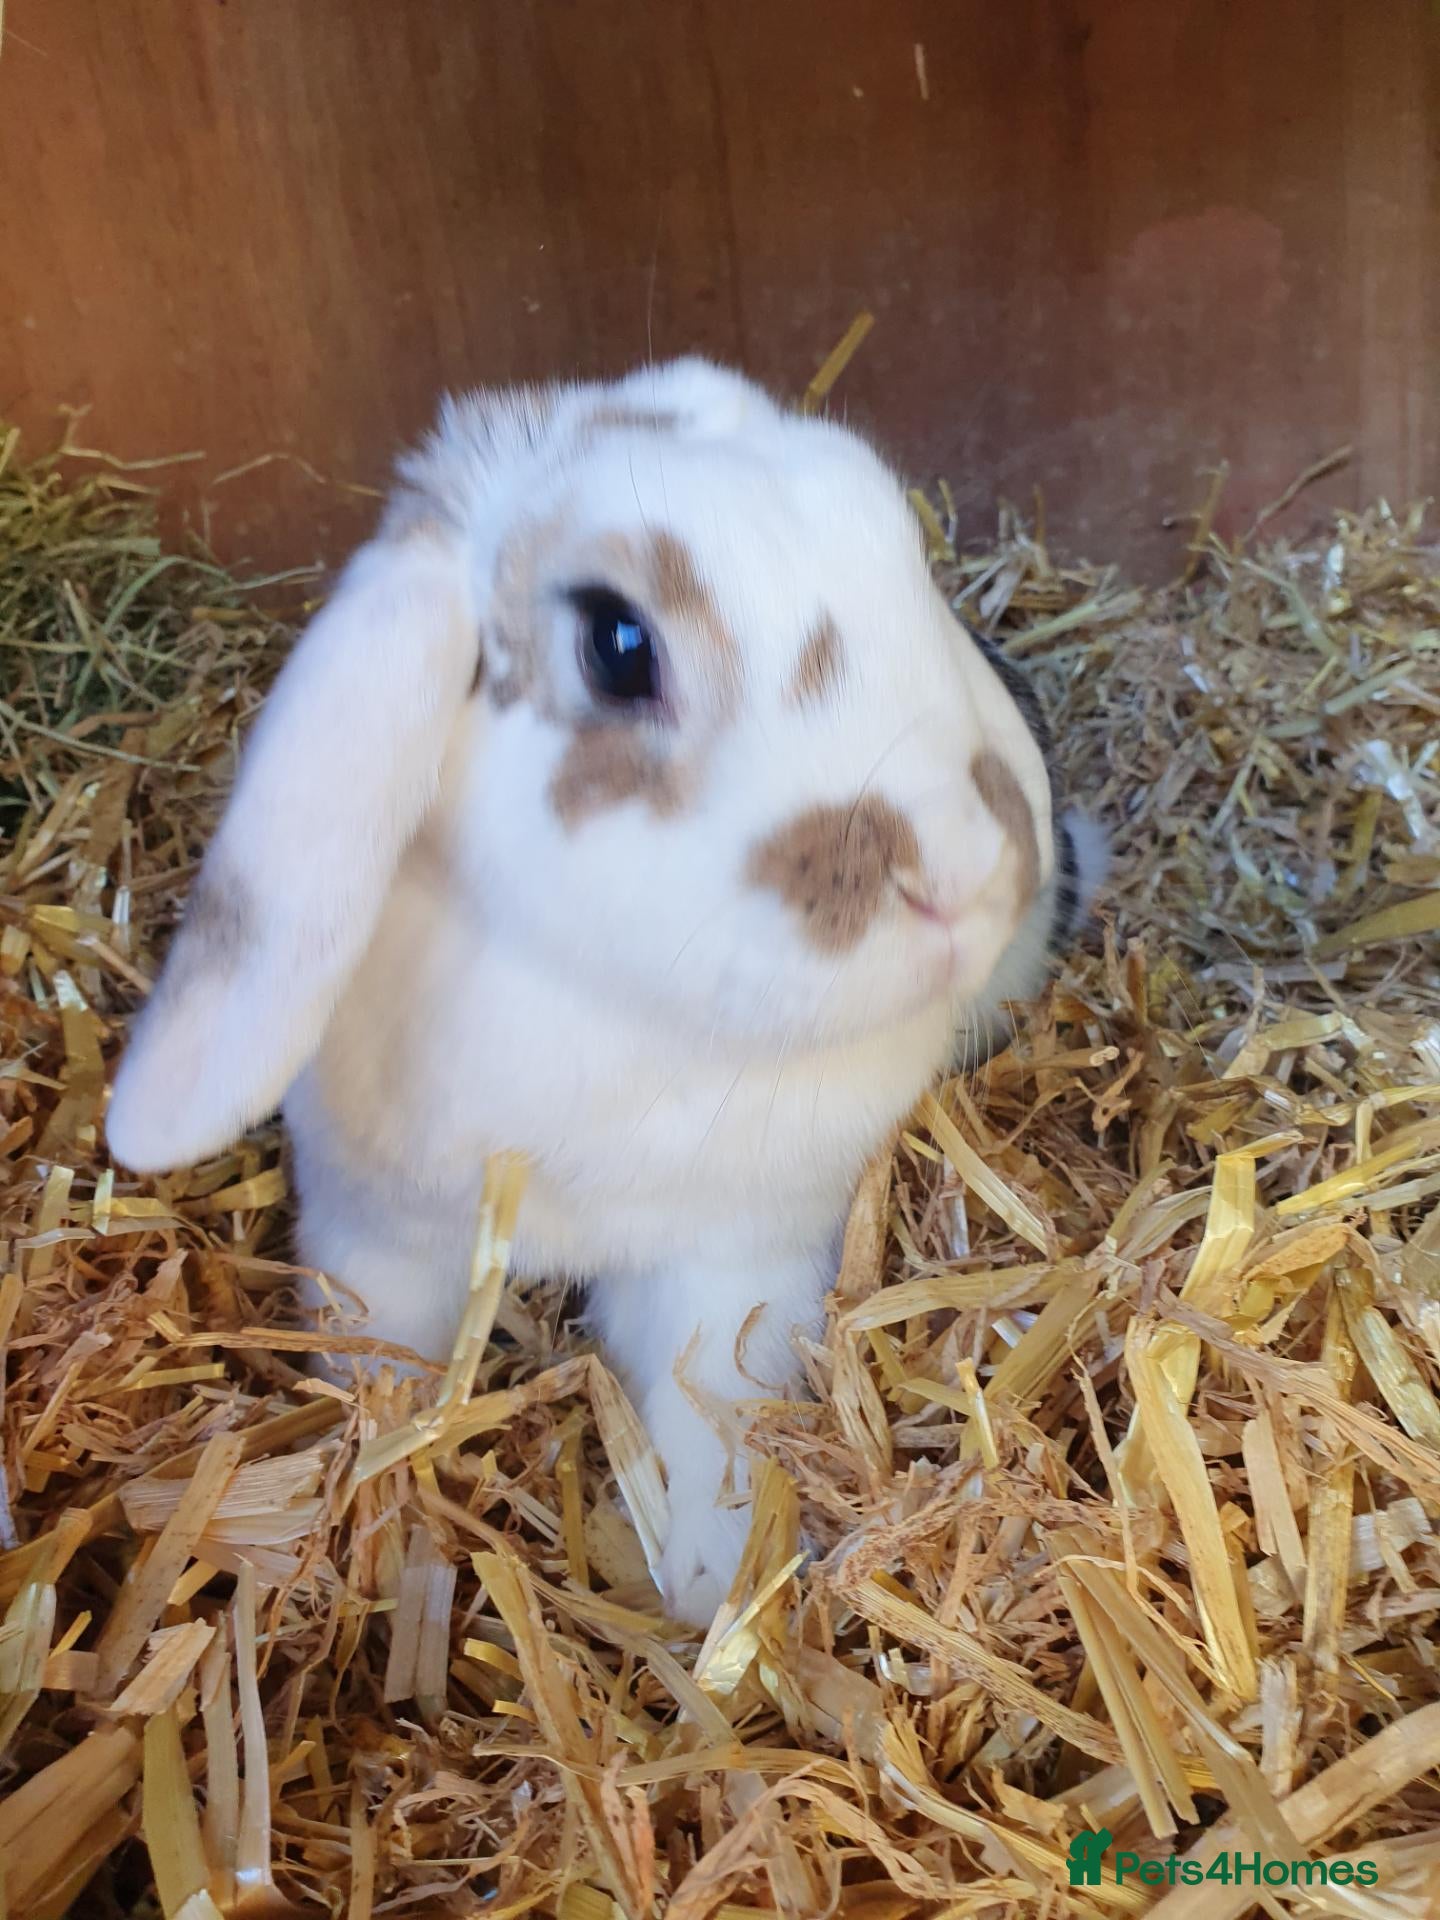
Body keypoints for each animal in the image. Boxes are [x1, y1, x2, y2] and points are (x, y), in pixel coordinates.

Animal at [106, 359, 1102, 1625]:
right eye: (619, 645)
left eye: (895, 540)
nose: (972, 877)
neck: (614, 1010)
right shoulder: (369, 1231)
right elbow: (380, 1358)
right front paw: (375, 1488)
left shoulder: (739, 1259)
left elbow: (721, 1413)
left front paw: (713, 1593)